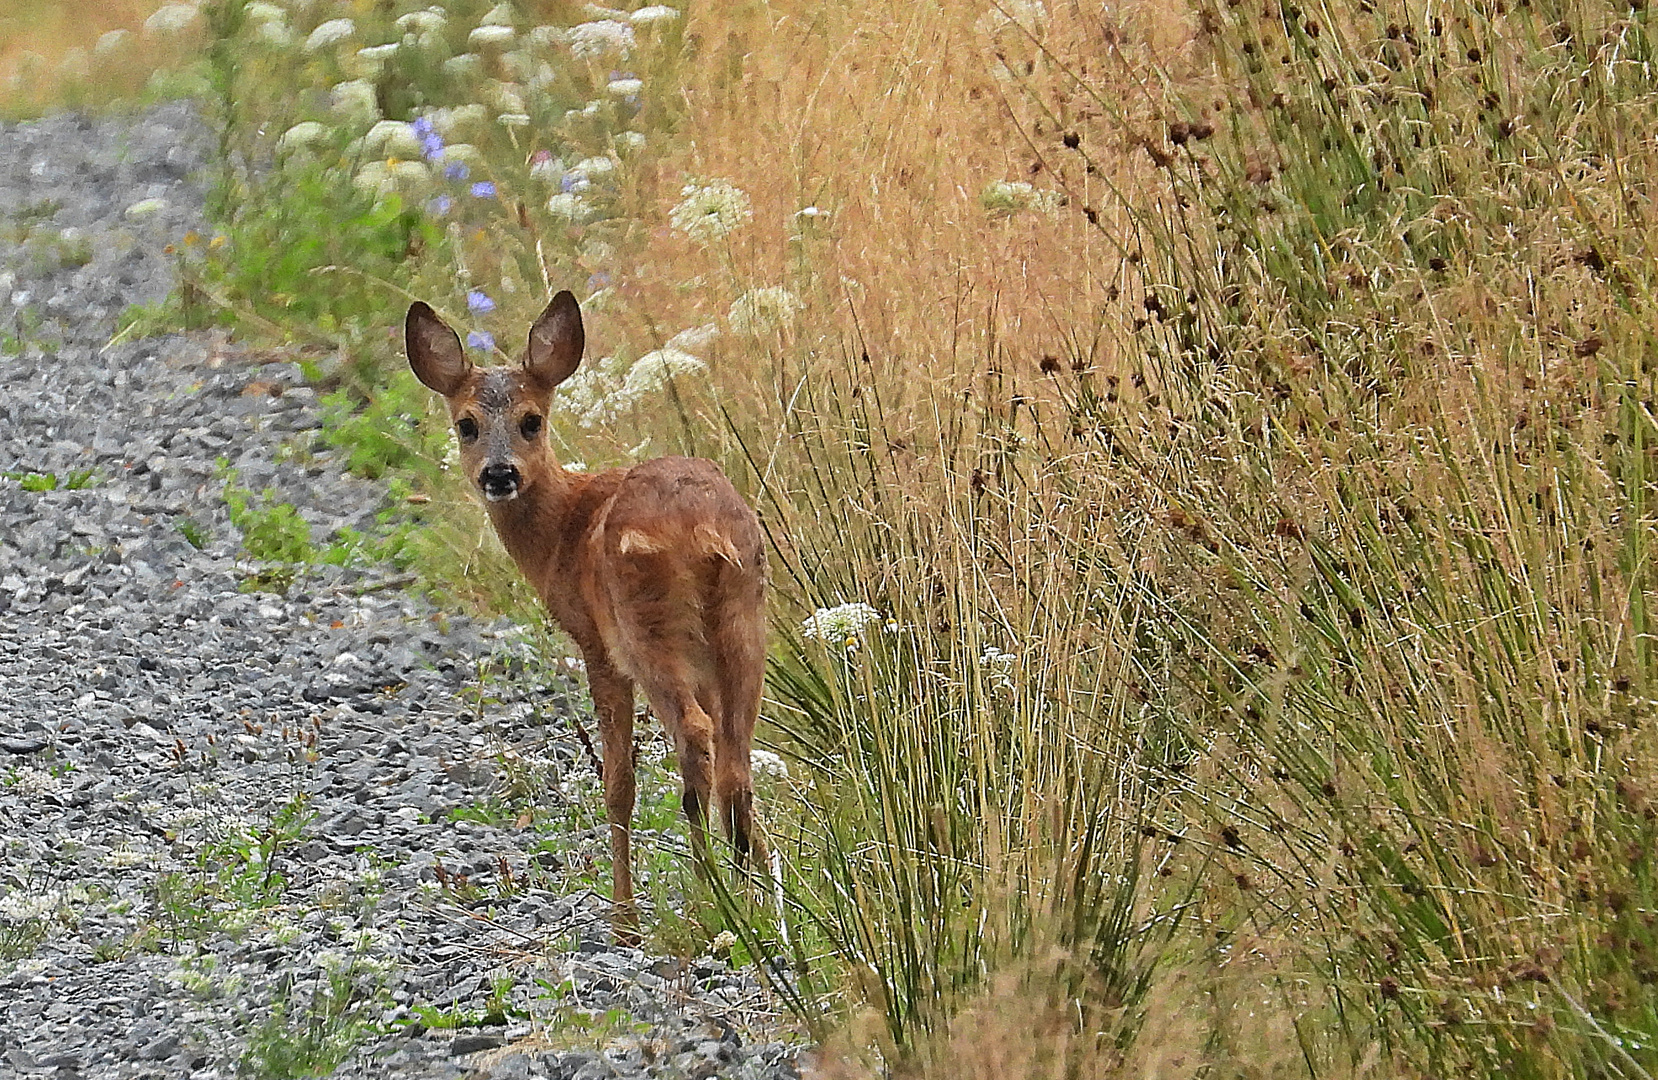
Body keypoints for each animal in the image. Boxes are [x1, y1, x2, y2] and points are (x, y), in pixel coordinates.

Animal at [404, 288, 765, 935]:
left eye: (531, 420)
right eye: (466, 425)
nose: (500, 474)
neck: (564, 531)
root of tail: (704, 530)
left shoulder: (596, 643)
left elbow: (617, 779)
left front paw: (623, 916)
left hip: (647, 629)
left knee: (696, 734)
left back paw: (710, 893)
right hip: (742, 621)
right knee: (737, 757)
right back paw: (753, 894)